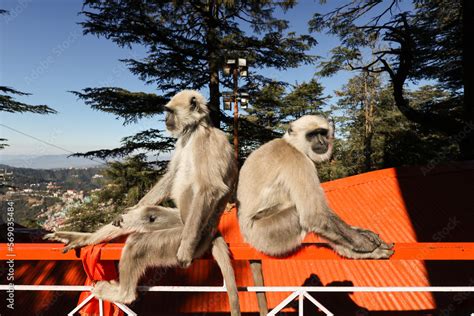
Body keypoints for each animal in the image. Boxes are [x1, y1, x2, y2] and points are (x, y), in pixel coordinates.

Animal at [44, 89, 241, 316]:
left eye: (170, 112)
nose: (165, 120)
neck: (194, 131)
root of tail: (213, 232)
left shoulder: (206, 140)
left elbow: (210, 188)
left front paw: (185, 250)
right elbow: (171, 176)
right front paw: (130, 209)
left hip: (190, 234)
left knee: (139, 244)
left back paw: (124, 294)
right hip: (177, 219)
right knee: (142, 216)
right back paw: (84, 238)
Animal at [239, 114, 394, 314]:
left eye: (322, 133)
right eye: (312, 135)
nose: (322, 141)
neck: (291, 144)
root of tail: (247, 236)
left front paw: (363, 234)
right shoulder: (298, 160)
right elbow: (314, 215)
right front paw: (363, 244)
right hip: (267, 235)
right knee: (300, 214)